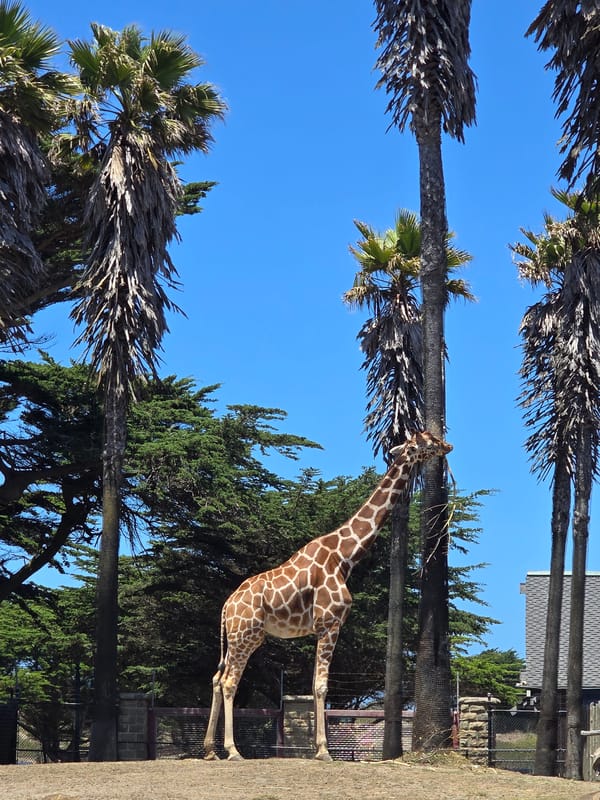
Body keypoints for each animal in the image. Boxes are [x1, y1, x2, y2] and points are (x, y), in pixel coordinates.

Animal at [202, 430, 452, 761]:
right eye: (426, 440)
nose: (447, 445)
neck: (345, 556)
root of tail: (226, 607)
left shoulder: (320, 628)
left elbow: (313, 685)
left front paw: (316, 748)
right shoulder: (330, 624)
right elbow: (321, 686)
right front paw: (323, 750)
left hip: (237, 638)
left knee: (217, 679)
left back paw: (209, 750)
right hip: (246, 636)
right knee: (230, 682)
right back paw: (232, 750)